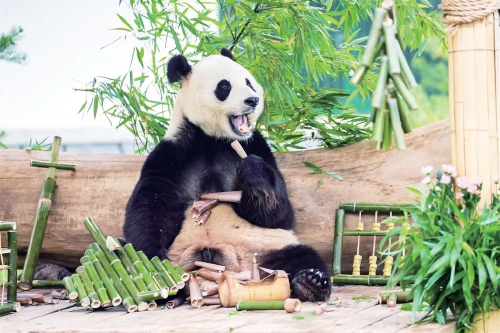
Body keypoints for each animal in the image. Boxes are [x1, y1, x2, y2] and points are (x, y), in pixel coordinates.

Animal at [122, 47, 330, 300]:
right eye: (224, 86)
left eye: (249, 82)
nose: (253, 100)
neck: (213, 139)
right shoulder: (172, 152)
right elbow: (151, 205)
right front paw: (155, 263)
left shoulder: (255, 145)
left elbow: (279, 214)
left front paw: (254, 172)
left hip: (269, 249)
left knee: (301, 256)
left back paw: (310, 282)